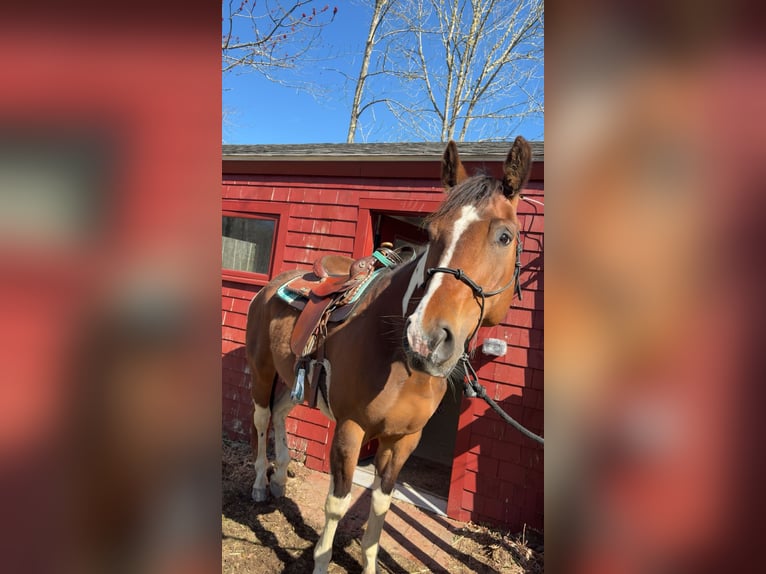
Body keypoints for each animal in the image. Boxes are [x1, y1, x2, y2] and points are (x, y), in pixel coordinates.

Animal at [245, 136, 532, 574]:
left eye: (505, 236)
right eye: (432, 232)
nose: (427, 339)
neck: (398, 358)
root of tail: (273, 285)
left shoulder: (404, 440)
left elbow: (381, 505)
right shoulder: (350, 430)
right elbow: (337, 504)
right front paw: (322, 561)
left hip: (292, 379)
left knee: (278, 415)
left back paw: (279, 480)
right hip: (262, 372)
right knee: (261, 420)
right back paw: (262, 483)